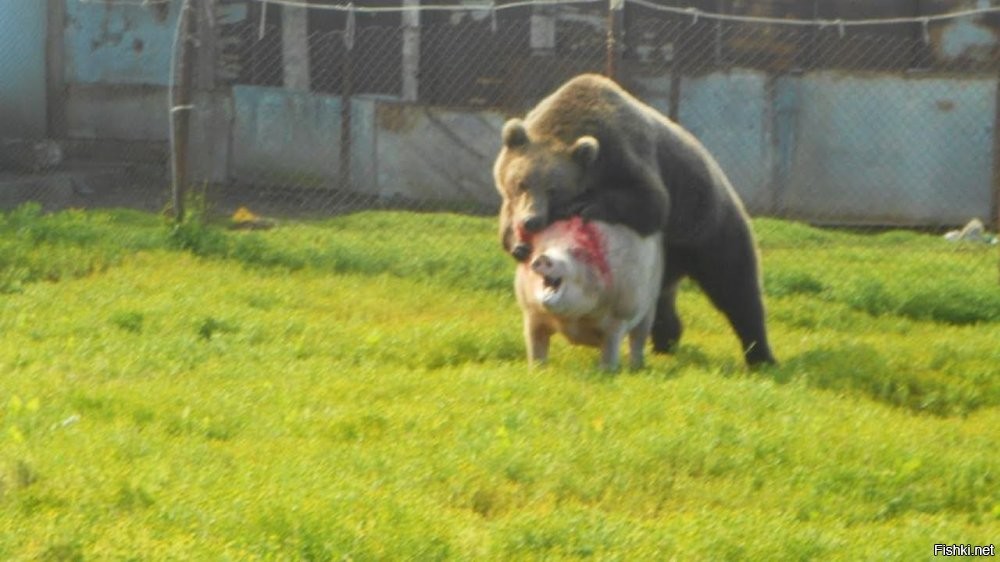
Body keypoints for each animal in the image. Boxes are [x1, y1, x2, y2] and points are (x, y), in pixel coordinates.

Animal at [496, 73, 776, 364]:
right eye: (521, 183)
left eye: (553, 189)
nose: (531, 221)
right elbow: (506, 218)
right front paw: (518, 244)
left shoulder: (627, 155)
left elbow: (651, 201)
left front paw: (586, 205)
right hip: (667, 256)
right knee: (662, 298)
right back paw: (666, 340)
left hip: (705, 223)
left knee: (736, 285)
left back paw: (761, 355)